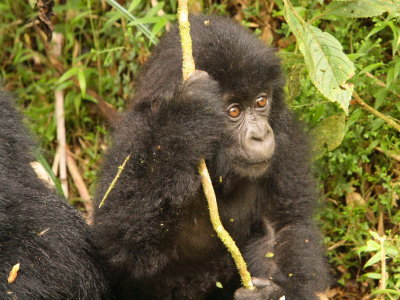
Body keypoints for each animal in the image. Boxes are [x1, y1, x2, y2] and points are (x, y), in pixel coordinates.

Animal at [94, 14, 328, 300]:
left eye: (261, 102)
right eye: (234, 111)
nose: (261, 135)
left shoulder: (286, 139)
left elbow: (283, 229)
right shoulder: (132, 139)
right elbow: (120, 245)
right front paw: (186, 117)